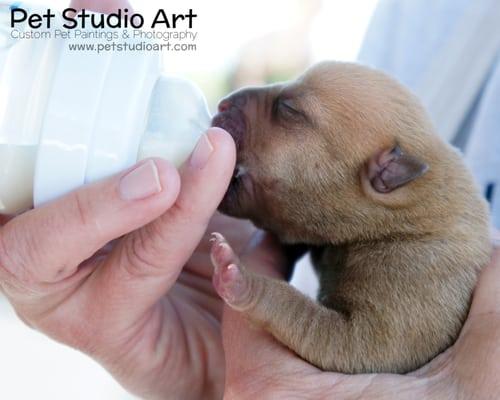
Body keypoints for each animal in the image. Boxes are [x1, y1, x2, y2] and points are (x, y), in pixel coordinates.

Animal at [209, 61, 490, 374]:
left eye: (289, 108)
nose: (222, 103)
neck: (401, 220)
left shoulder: (405, 299)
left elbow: (309, 320)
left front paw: (239, 279)